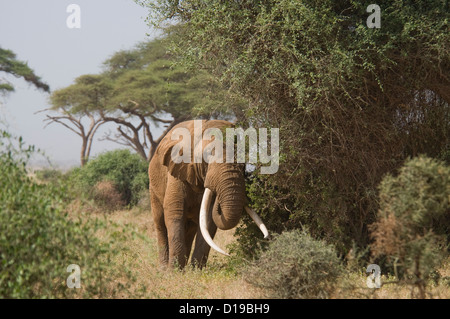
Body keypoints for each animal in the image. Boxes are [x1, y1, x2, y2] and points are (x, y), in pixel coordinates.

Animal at [149, 119, 268, 268]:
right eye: (207, 155)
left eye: (243, 159)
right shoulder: (177, 172)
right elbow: (175, 211)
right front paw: (174, 271)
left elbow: (208, 221)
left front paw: (196, 270)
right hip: (153, 188)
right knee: (160, 222)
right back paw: (164, 268)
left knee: (190, 228)